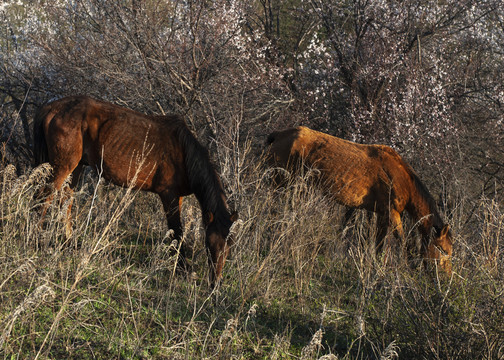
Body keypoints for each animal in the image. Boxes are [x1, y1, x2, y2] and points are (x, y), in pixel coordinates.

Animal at [33, 95, 238, 286]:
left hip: (76, 167)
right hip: (62, 166)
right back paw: (38, 241)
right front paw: (183, 269)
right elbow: (177, 232)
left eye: (229, 246)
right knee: (44, 197)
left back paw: (69, 243)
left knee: (65, 200)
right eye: (208, 244)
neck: (182, 151)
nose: (216, 283)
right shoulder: (168, 195)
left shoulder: (177, 197)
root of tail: (51, 107)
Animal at [268, 126, 452, 272]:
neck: (403, 179)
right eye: (443, 250)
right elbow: (402, 240)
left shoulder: (382, 213)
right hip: (281, 182)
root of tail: (278, 134)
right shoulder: (392, 212)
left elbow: (379, 242)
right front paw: (410, 266)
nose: (446, 276)